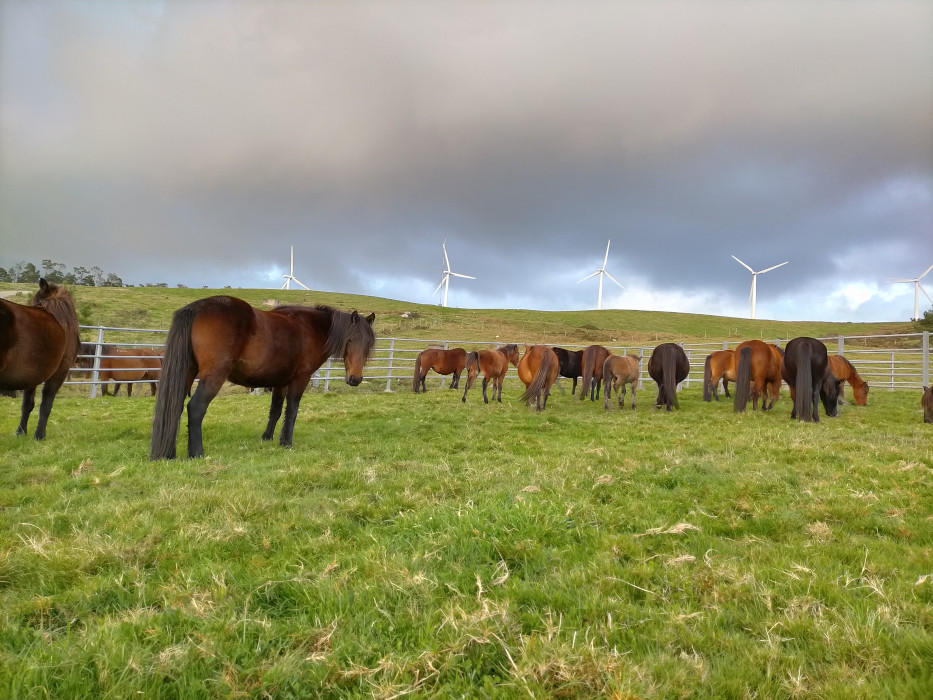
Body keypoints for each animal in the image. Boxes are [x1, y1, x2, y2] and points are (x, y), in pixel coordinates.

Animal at [0, 278, 80, 438]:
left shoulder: (31, 375)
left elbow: (27, 405)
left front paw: (20, 432)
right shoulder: (59, 372)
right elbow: (46, 405)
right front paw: (39, 435)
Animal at [149, 296, 374, 460]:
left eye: (368, 343)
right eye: (350, 340)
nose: (355, 379)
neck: (311, 328)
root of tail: (197, 307)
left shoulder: (280, 383)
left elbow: (275, 411)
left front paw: (267, 438)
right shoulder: (299, 379)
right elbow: (292, 411)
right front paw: (286, 443)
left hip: (187, 372)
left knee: (175, 406)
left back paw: (169, 454)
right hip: (213, 376)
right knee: (195, 408)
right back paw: (197, 454)